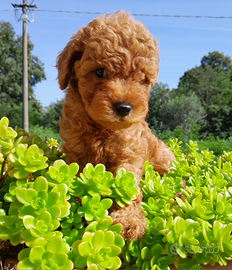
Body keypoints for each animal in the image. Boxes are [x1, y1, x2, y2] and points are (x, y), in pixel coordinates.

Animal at [57, 10, 175, 240]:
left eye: (141, 78)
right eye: (100, 72)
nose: (124, 107)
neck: (101, 128)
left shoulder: (129, 153)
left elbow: (128, 188)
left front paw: (128, 220)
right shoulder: (77, 152)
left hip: (164, 158)